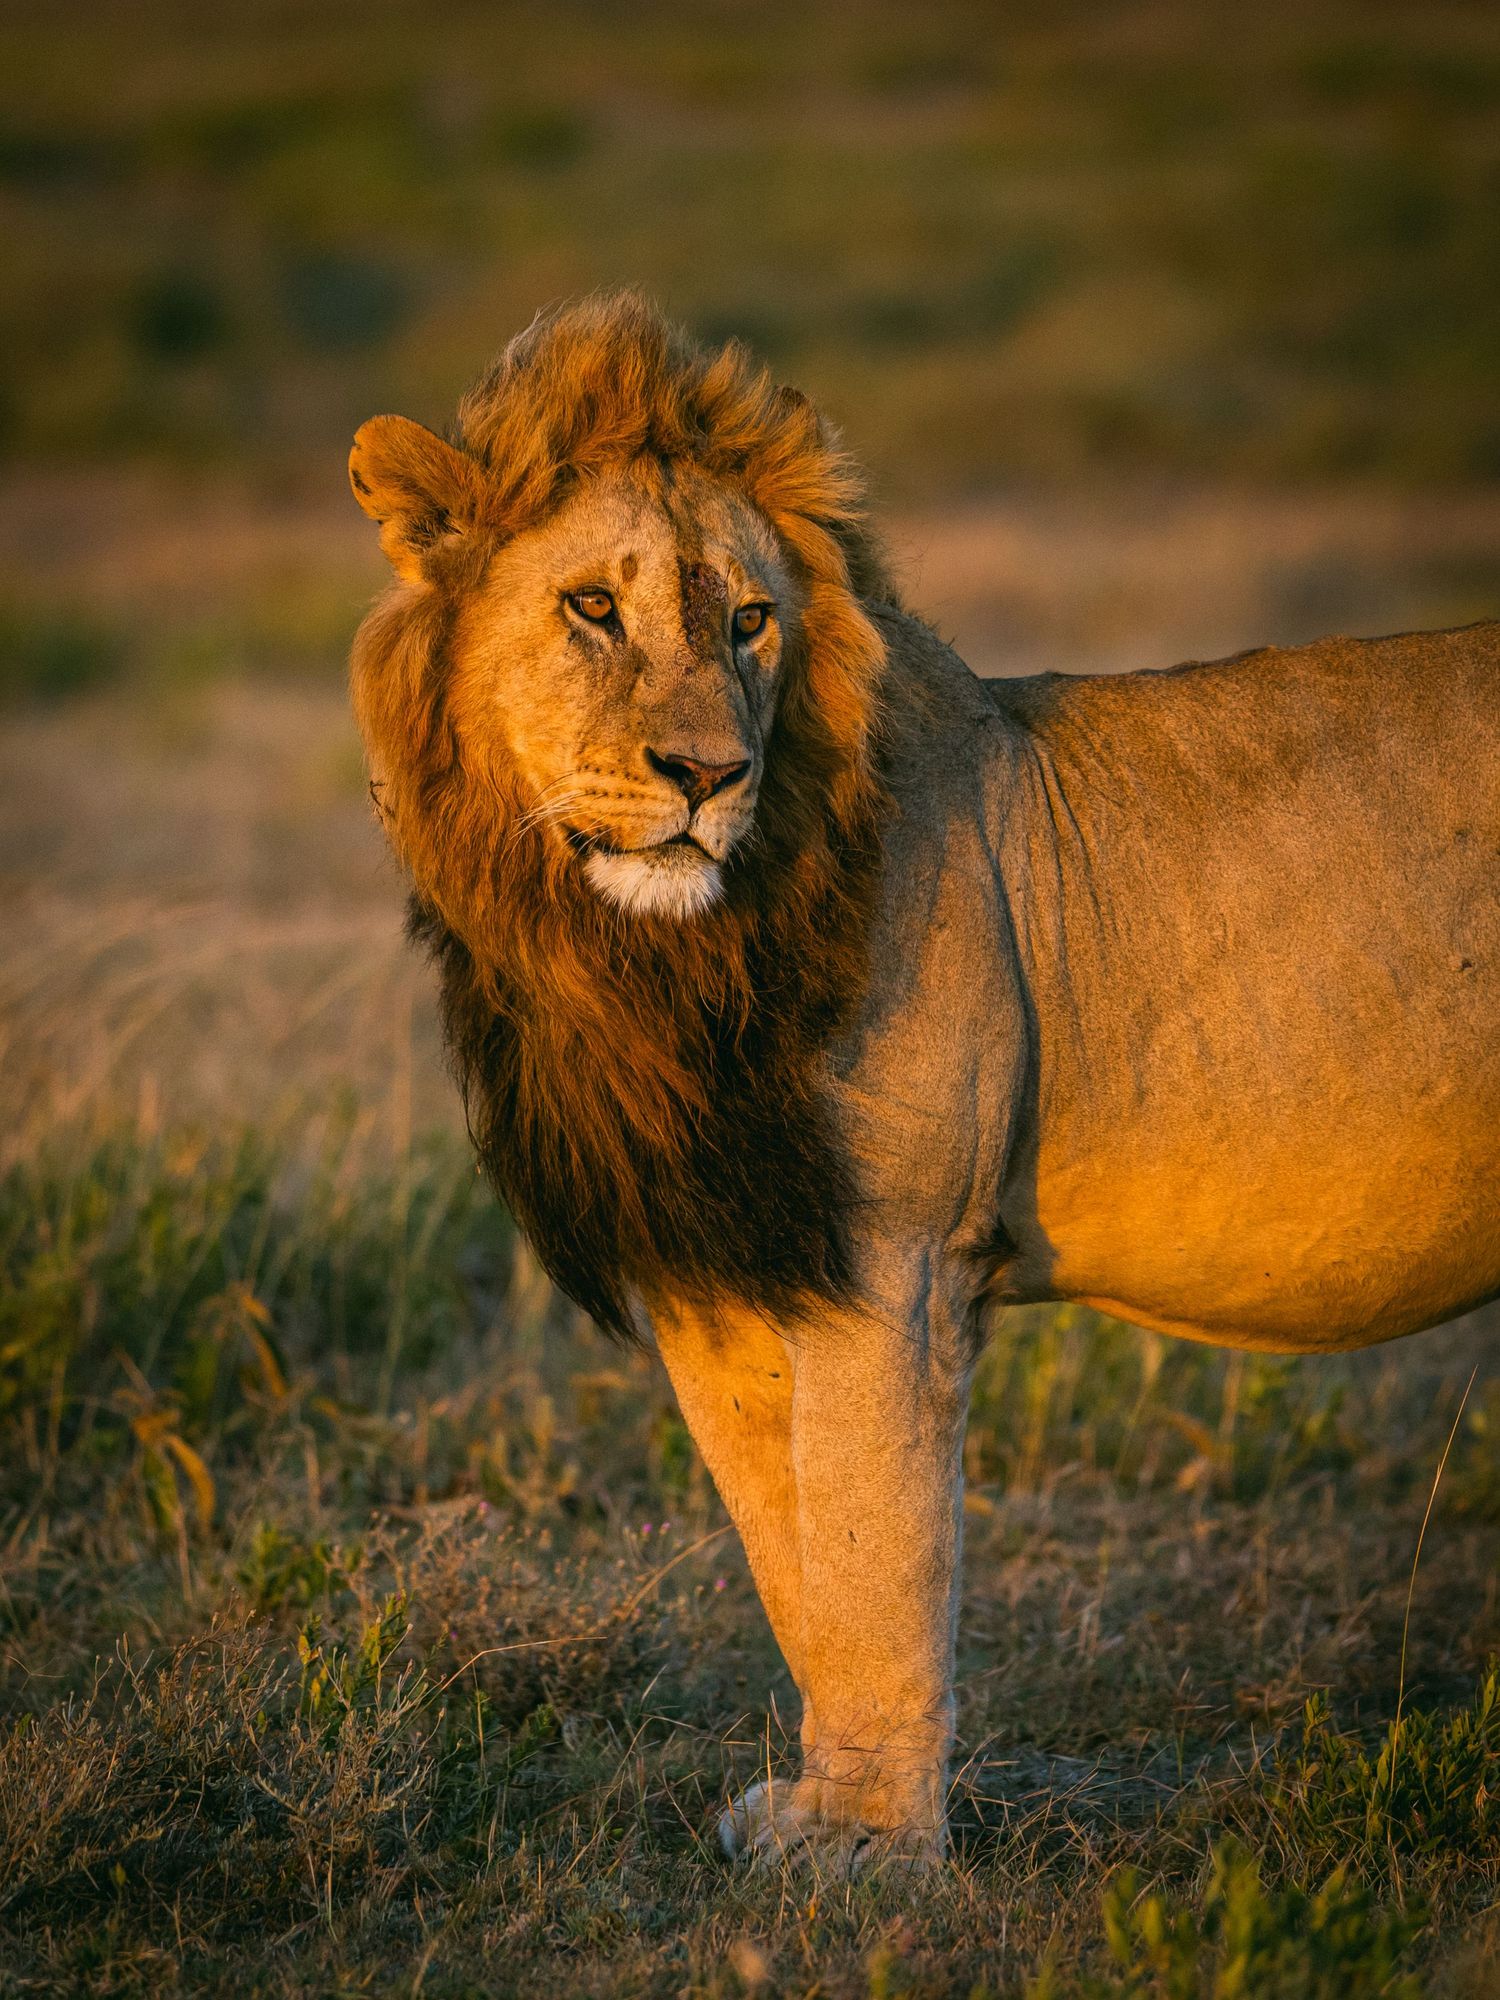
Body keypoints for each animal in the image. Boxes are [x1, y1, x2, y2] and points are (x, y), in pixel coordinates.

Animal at [348, 293, 1500, 1868]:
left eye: (751, 619)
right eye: (592, 608)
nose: (708, 773)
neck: (645, 964)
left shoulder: (890, 1264)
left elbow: (875, 1553)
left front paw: (871, 1852)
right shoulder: (723, 1275)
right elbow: (794, 1559)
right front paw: (825, 1807)